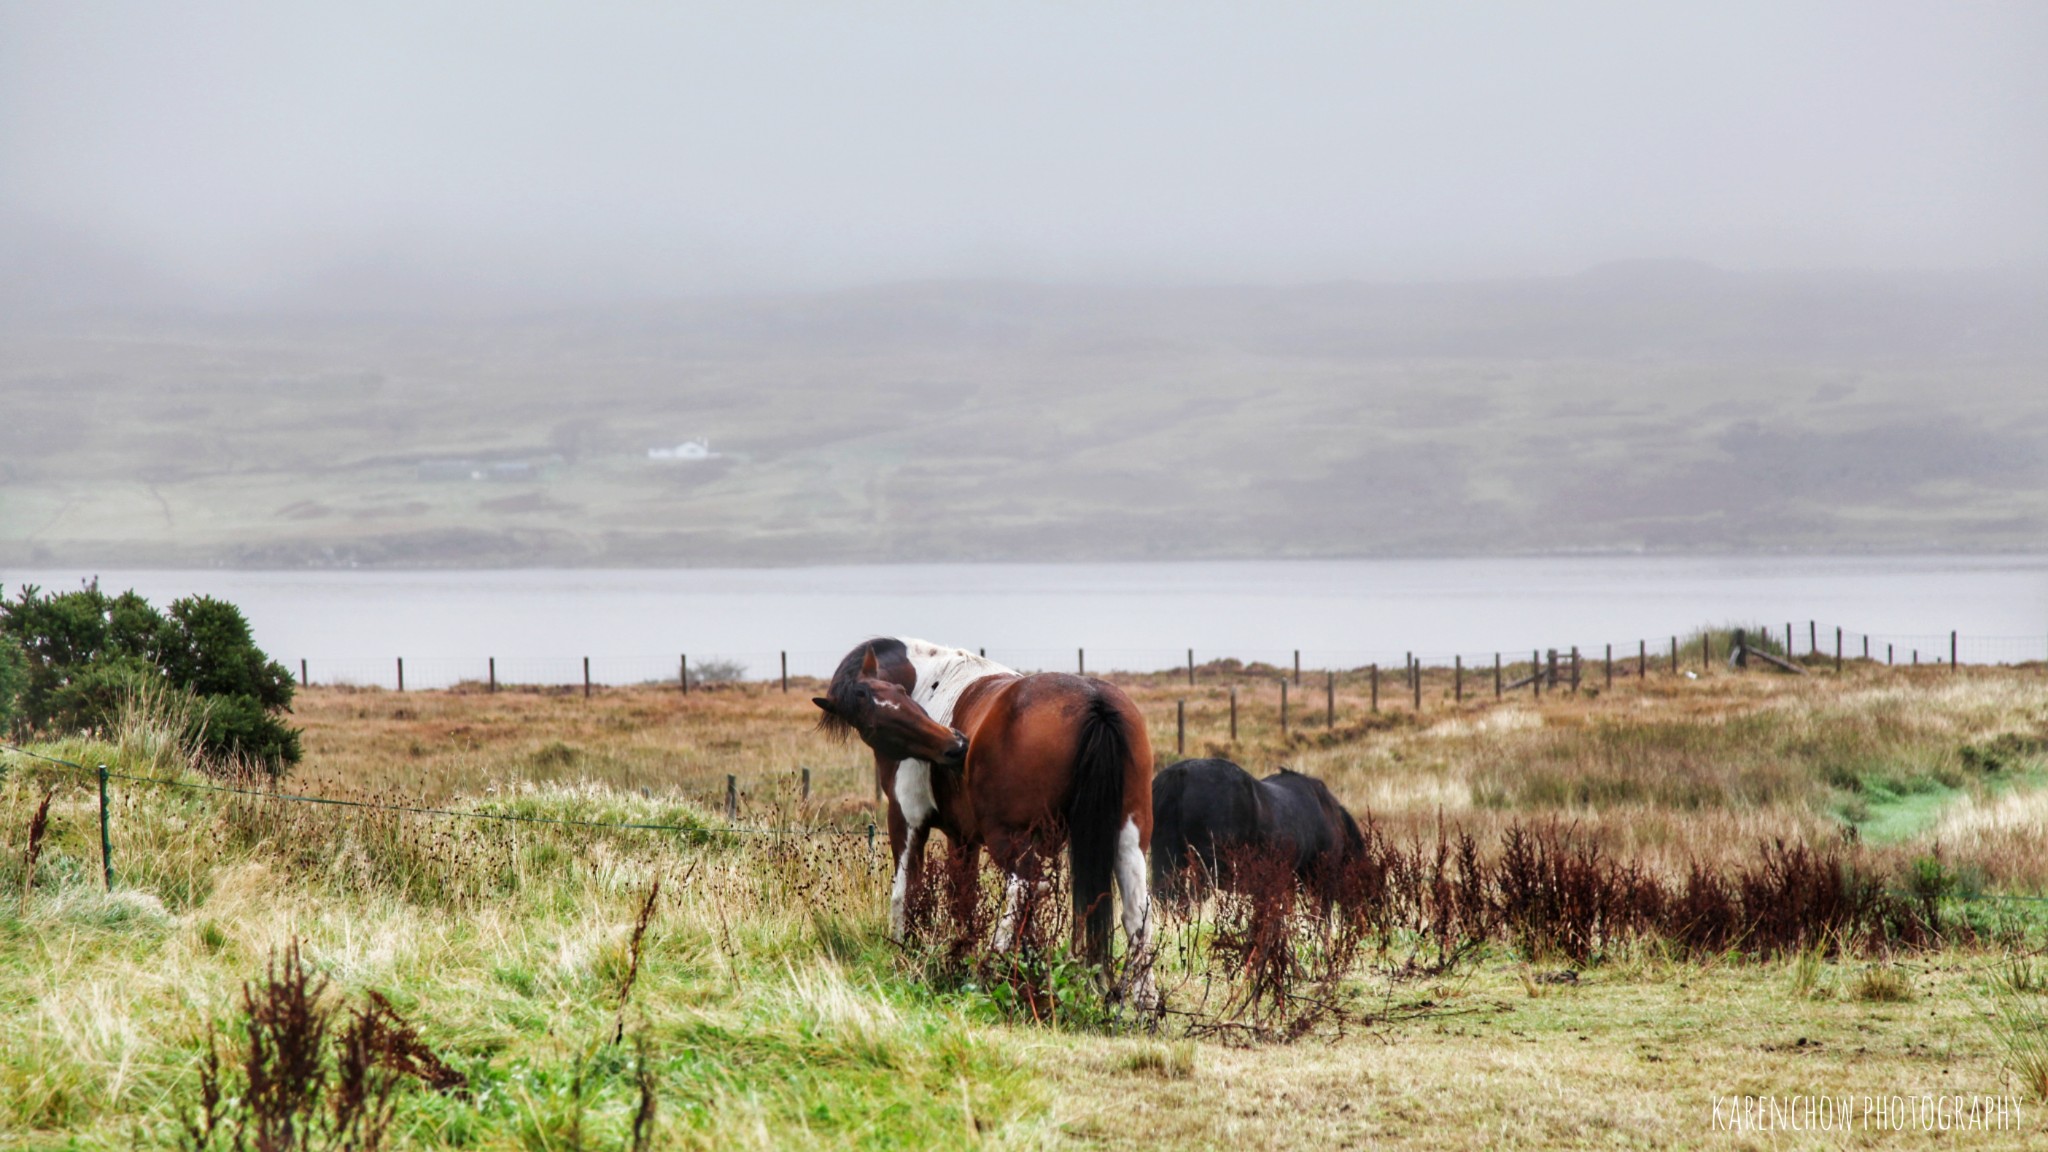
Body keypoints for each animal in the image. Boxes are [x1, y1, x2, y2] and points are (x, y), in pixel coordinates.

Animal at [819, 631, 1171, 992]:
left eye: (901, 695)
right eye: (873, 722)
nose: (956, 745)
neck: (928, 679)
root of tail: (1094, 701)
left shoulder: (907, 822)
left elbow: (906, 892)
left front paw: (908, 955)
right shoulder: (962, 838)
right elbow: (962, 900)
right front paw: (959, 957)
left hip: (1010, 840)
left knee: (1025, 888)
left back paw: (992, 969)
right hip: (1126, 841)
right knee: (1136, 912)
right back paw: (1143, 999)